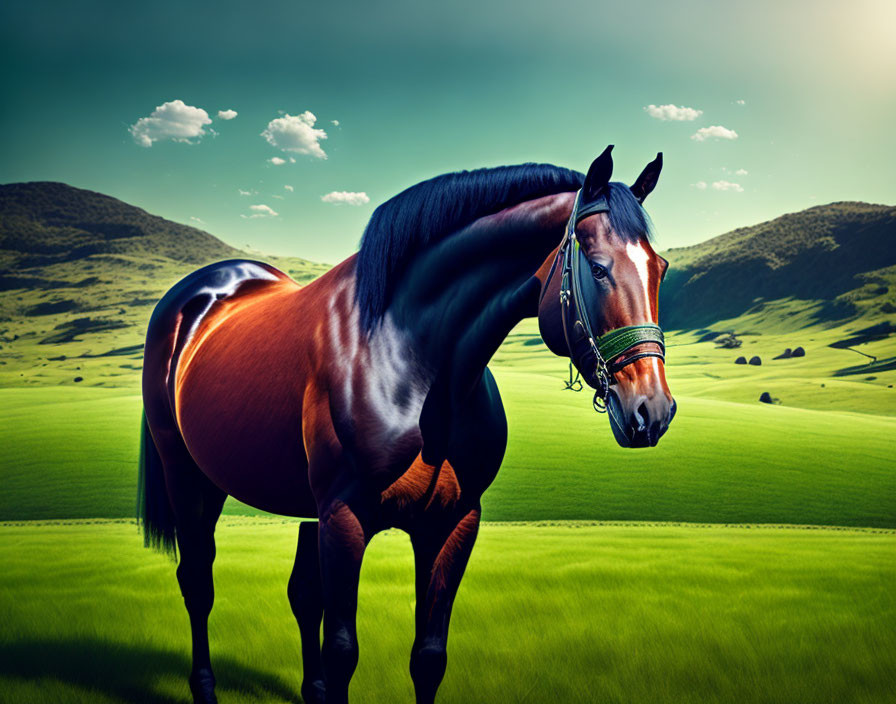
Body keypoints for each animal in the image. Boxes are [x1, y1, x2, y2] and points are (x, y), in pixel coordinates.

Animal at [138, 144, 672, 704]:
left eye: (660, 268)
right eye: (599, 268)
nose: (652, 410)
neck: (411, 359)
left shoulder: (451, 523)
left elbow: (428, 656)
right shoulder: (345, 518)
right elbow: (342, 650)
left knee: (301, 593)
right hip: (188, 477)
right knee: (198, 580)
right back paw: (204, 688)